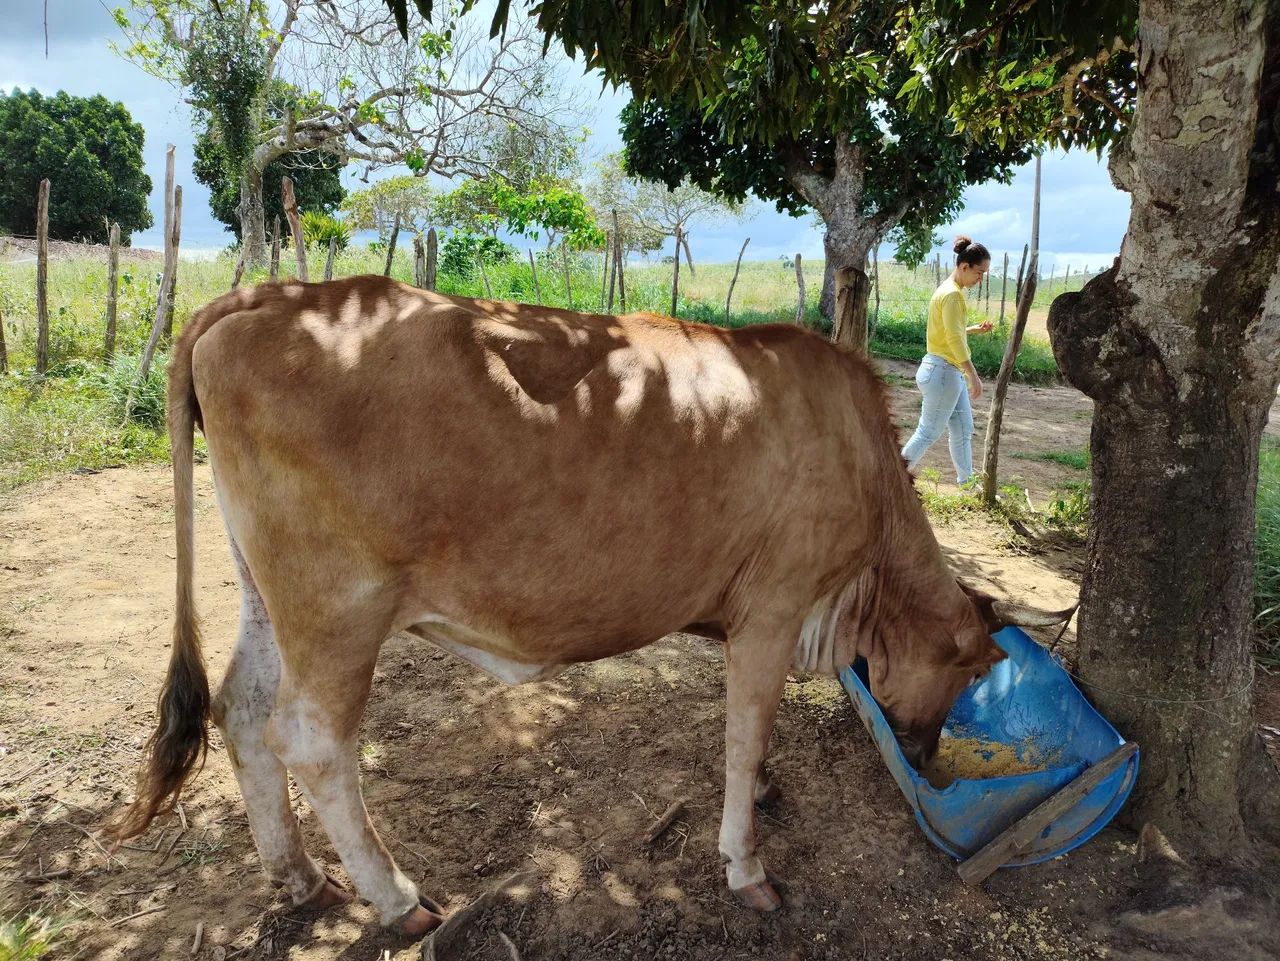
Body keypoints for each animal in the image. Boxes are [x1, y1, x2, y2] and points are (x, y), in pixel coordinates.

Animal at [106, 276, 1070, 935]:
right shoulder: (772, 610)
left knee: (241, 707)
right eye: (967, 674)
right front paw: (746, 862)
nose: (925, 756)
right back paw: (398, 898)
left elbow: (750, 737)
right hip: (338, 604)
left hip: (267, 594)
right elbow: (748, 734)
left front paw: (766, 795)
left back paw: (301, 878)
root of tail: (267, 293)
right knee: (310, 740)